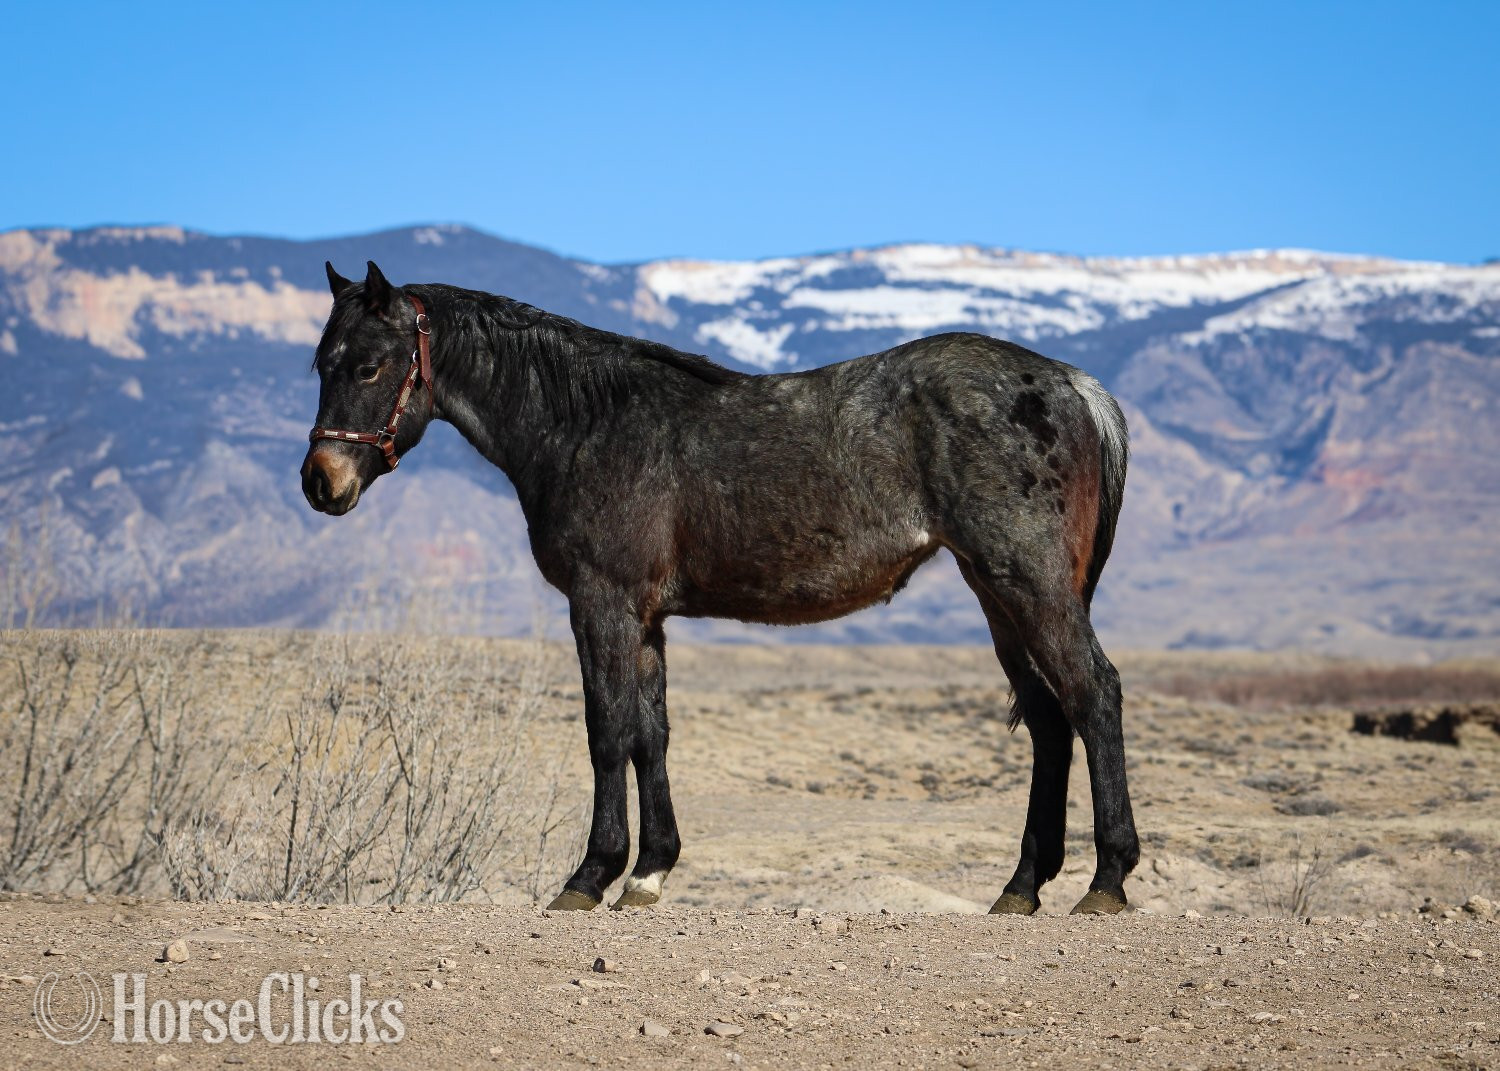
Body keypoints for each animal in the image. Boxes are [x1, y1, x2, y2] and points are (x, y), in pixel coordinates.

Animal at [301, 260, 1139, 916]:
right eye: (320, 364)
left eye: (368, 365)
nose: (320, 481)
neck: (588, 422)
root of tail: (1077, 386)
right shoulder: (644, 618)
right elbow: (651, 733)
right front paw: (649, 872)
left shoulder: (601, 604)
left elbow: (606, 732)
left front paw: (590, 874)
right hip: (996, 594)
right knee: (1049, 720)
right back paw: (1022, 886)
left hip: (1028, 585)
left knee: (1093, 693)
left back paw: (1107, 878)